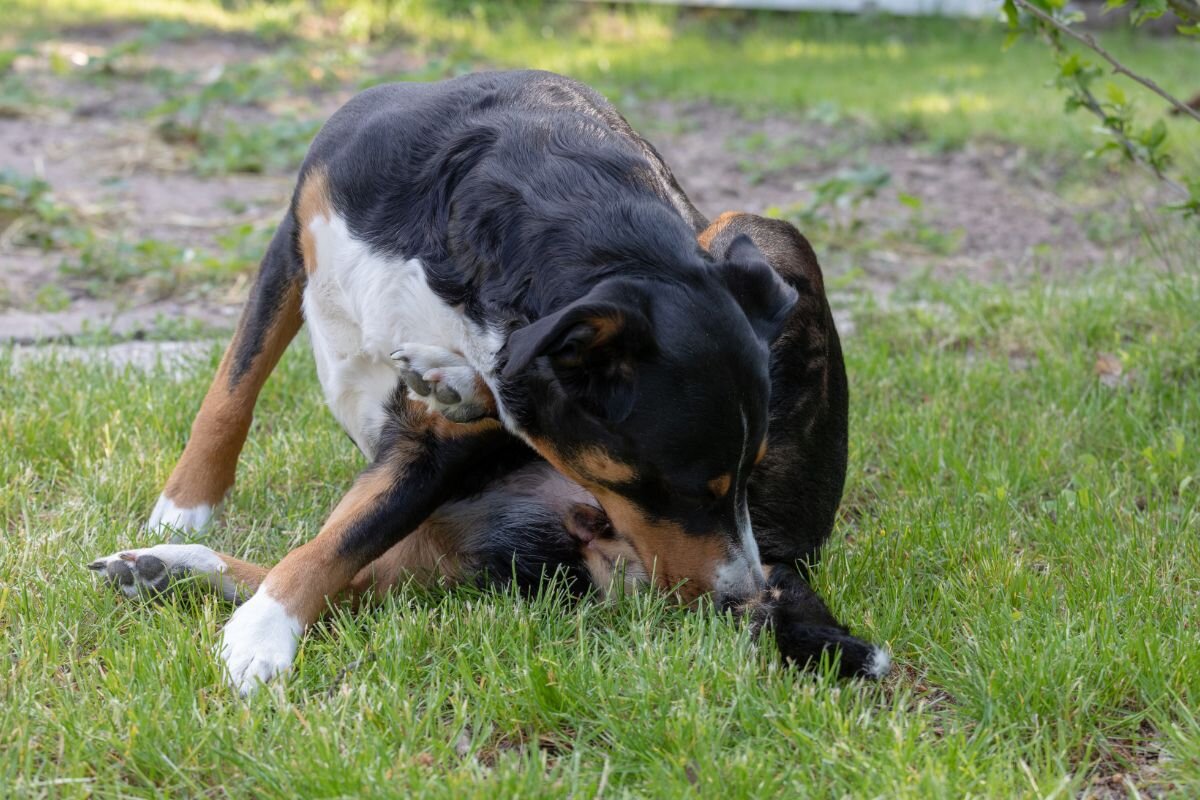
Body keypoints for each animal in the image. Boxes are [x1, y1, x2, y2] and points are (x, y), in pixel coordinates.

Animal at [88, 70, 888, 695]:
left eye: (744, 479)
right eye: (689, 489)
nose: (742, 596)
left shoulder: (440, 446)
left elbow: (339, 544)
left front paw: (260, 636)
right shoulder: (295, 236)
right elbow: (231, 392)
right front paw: (182, 511)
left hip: (760, 230)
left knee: (363, 573)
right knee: (366, 574)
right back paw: (168, 565)